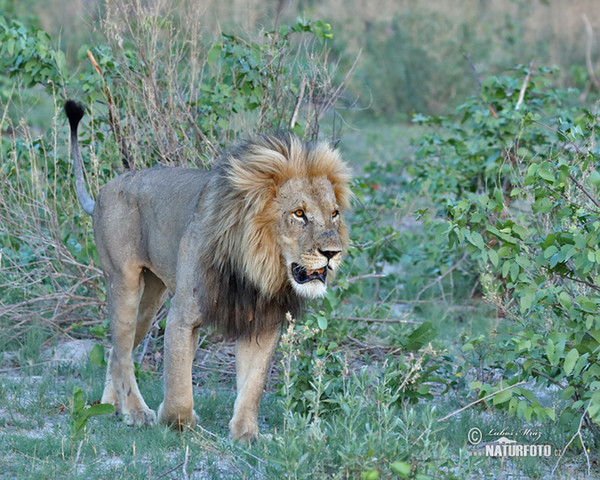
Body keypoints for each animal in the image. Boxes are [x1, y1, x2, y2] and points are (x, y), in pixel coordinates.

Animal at [64, 101, 352, 442]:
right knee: (121, 354)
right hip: (124, 283)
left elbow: (253, 384)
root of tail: (103, 191)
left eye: (334, 214)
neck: (257, 266)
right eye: (299, 213)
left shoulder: (263, 321)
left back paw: (112, 407)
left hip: (150, 299)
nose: (332, 253)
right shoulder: (184, 315)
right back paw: (136, 412)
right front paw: (176, 422)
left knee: (114, 353)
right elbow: (178, 382)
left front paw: (247, 434)